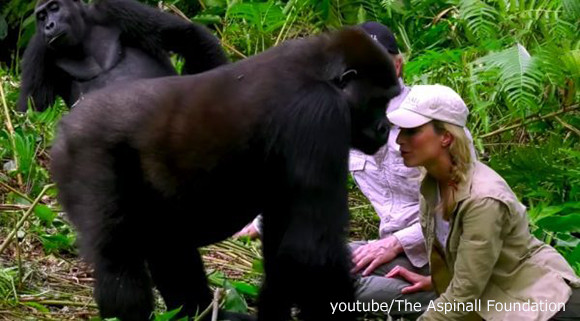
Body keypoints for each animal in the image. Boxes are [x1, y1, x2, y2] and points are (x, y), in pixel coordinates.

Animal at [18, 0, 227, 111]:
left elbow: (186, 36)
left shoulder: (113, 7)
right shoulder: (38, 48)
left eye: (54, 7)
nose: (49, 25)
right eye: (41, 16)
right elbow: (32, 109)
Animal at [49, 27, 402, 320]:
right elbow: (312, 249)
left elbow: (285, 245)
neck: (320, 70)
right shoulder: (321, 114)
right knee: (117, 256)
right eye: (379, 100)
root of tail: (65, 124)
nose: (385, 129)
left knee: (166, 240)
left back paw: (197, 312)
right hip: (85, 152)